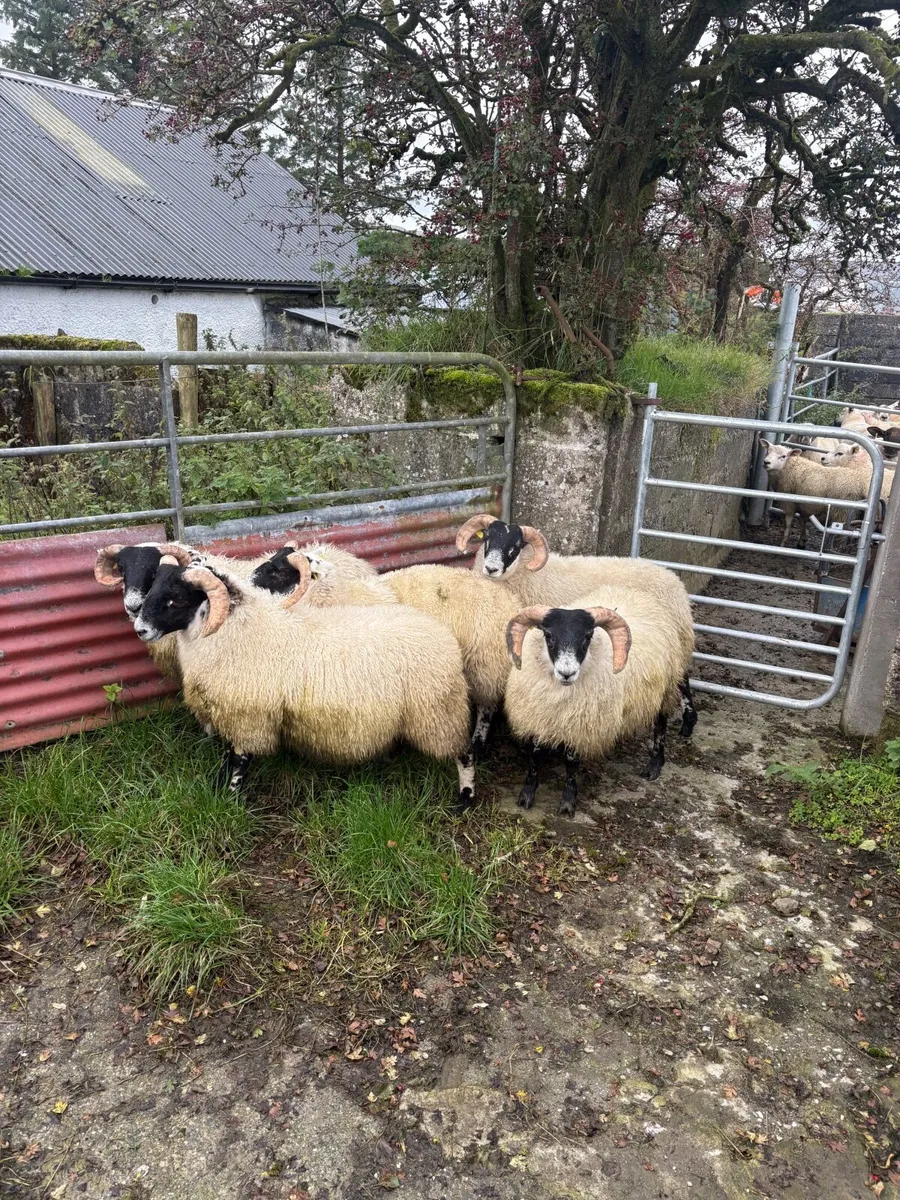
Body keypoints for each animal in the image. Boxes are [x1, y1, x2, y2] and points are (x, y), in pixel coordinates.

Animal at [131, 560, 478, 806]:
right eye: (153, 588)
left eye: (175, 599)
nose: (140, 630)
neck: (237, 631)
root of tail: (444, 636)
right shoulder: (232, 715)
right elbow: (227, 756)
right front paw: (218, 786)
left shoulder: (248, 717)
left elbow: (239, 760)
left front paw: (231, 798)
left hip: (438, 711)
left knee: (464, 752)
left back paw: (465, 796)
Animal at [502, 580, 695, 816]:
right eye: (548, 635)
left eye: (587, 637)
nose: (567, 673)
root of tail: (640, 595)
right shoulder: (537, 719)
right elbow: (533, 757)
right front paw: (527, 794)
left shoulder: (580, 726)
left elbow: (571, 763)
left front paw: (567, 802)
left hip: (665, 687)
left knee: (660, 724)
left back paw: (655, 765)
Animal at [758, 439, 889, 548]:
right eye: (768, 451)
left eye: (783, 456)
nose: (766, 462)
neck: (789, 467)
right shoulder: (805, 505)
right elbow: (802, 521)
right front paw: (802, 541)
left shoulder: (789, 503)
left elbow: (788, 524)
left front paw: (783, 543)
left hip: (842, 511)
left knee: (842, 535)